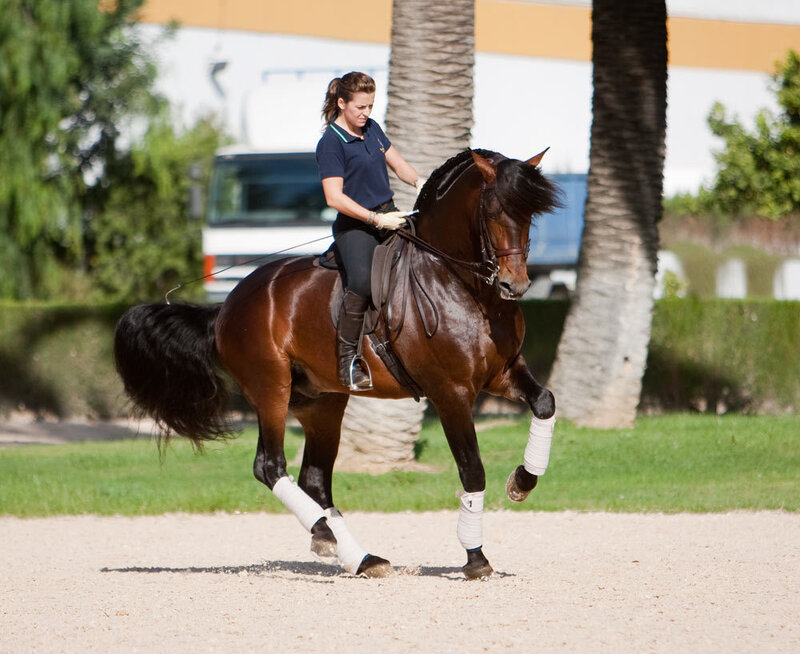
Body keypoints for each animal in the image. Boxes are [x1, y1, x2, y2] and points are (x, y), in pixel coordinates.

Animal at [114, 148, 561, 580]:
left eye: (530, 215)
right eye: (493, 212)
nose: (515, 285)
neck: (460, 283)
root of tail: (228, 305)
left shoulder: (502, 372)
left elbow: (545, 403)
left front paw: (522, 482)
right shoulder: (450, 392)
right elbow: (472, 471)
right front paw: (475, 559)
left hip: (322, 401)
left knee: (314, 479)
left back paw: (357, 556)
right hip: (271, 389)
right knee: (270, 467)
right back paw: (332, 539)